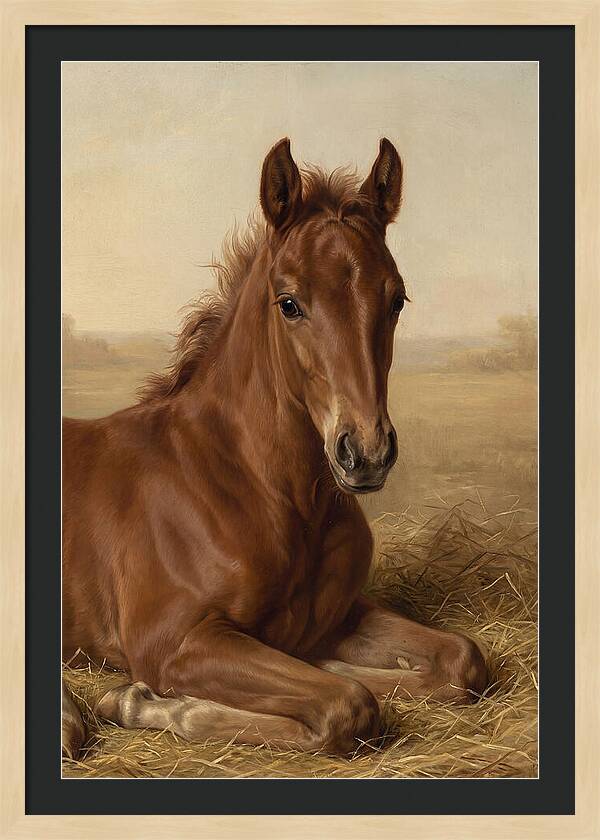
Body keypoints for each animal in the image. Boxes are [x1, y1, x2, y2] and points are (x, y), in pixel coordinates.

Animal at [62, 138, 488, 759]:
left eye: (397, 300)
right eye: (288, 303)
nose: (366, 452)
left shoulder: (338, 617)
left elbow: (460, 661)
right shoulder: (173, 642)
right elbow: (347, 704)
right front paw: (142, 701)